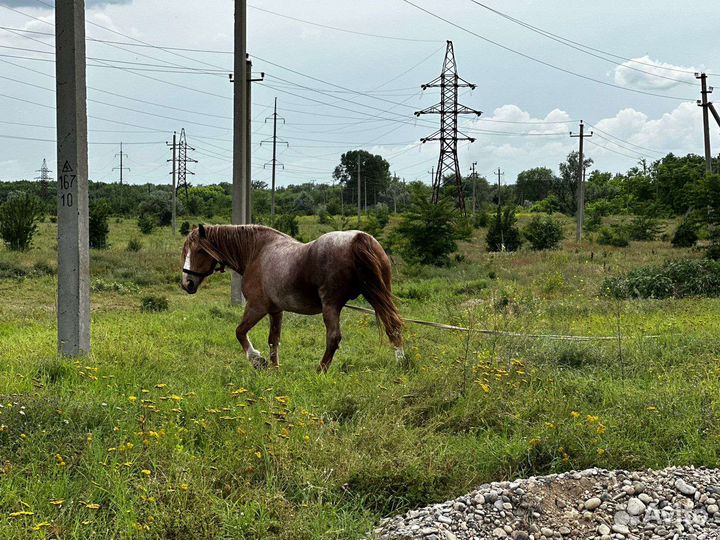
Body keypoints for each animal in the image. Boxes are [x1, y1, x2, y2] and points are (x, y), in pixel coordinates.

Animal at [180, 224, 404, 372]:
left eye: (199, 250)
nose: (187, 283)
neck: (257, 252)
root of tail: (359, 238)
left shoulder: (256, 307)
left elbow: (240, 332)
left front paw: (256, 359)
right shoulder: (275, 310)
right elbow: (273, 340)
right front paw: (274, 369)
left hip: (331, 305)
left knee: (333, 338)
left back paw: (320, 371)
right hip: (377, 296)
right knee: (393, 325)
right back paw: (401, 361)